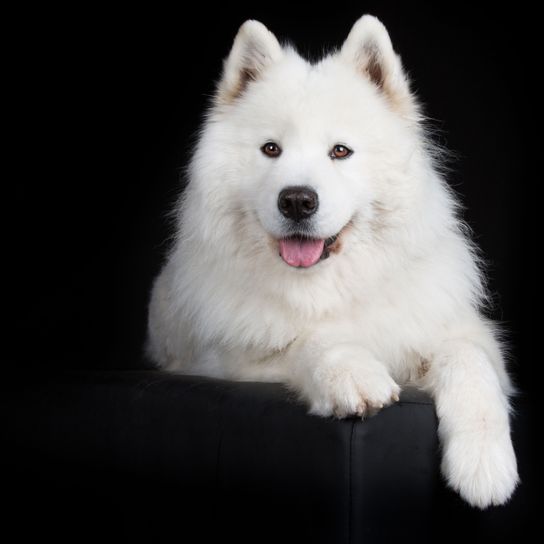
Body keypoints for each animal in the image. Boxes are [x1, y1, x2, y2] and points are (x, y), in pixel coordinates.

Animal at [148, 14, 520, 508]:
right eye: (271, 149)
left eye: (340, 151)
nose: (297, 201)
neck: (331, 281)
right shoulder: (235, 361)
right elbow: (308, 339)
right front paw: (353, 373)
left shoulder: (459, 333)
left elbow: (469, 359)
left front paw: (485, 466)